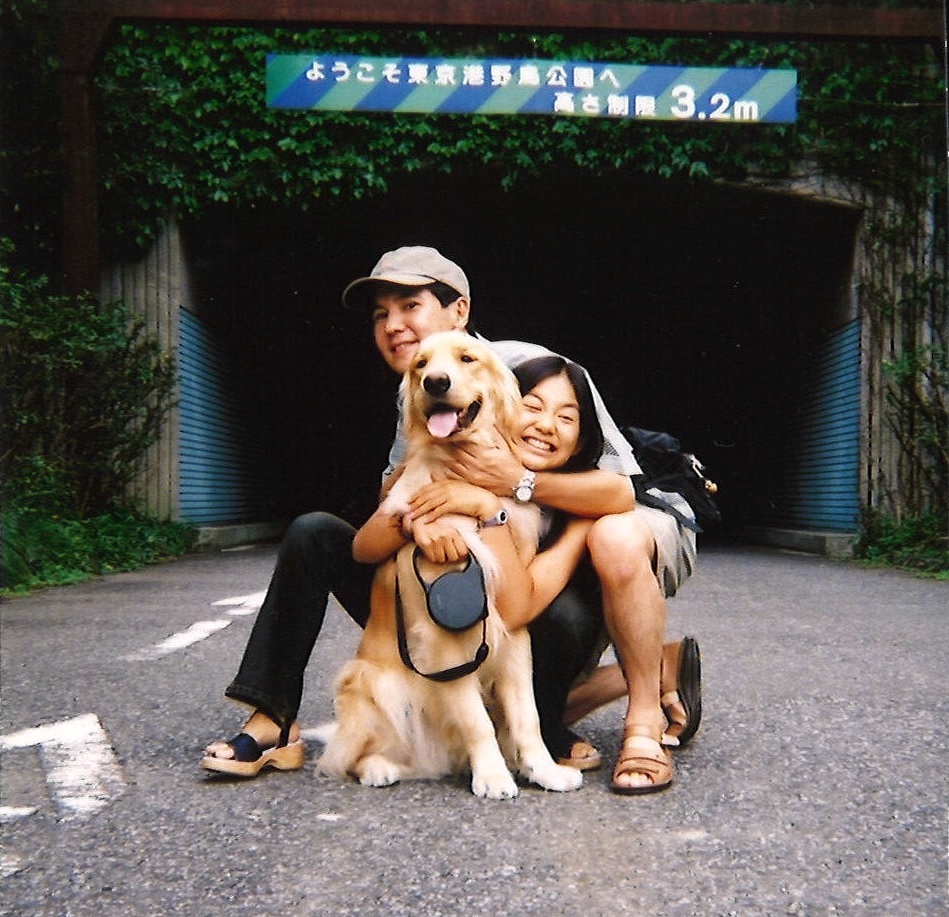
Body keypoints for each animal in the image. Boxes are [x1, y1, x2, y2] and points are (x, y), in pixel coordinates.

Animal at [318, 332, 580, 796]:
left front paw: (543, 770)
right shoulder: (446, 640)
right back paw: (378, 768)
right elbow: (477, 721)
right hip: (372, 681)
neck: (461, 474)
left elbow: (527, 715)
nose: (436, 382)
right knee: (349, 756)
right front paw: (493, 777)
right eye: (420, 364)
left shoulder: (512, 626)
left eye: (467, 358)